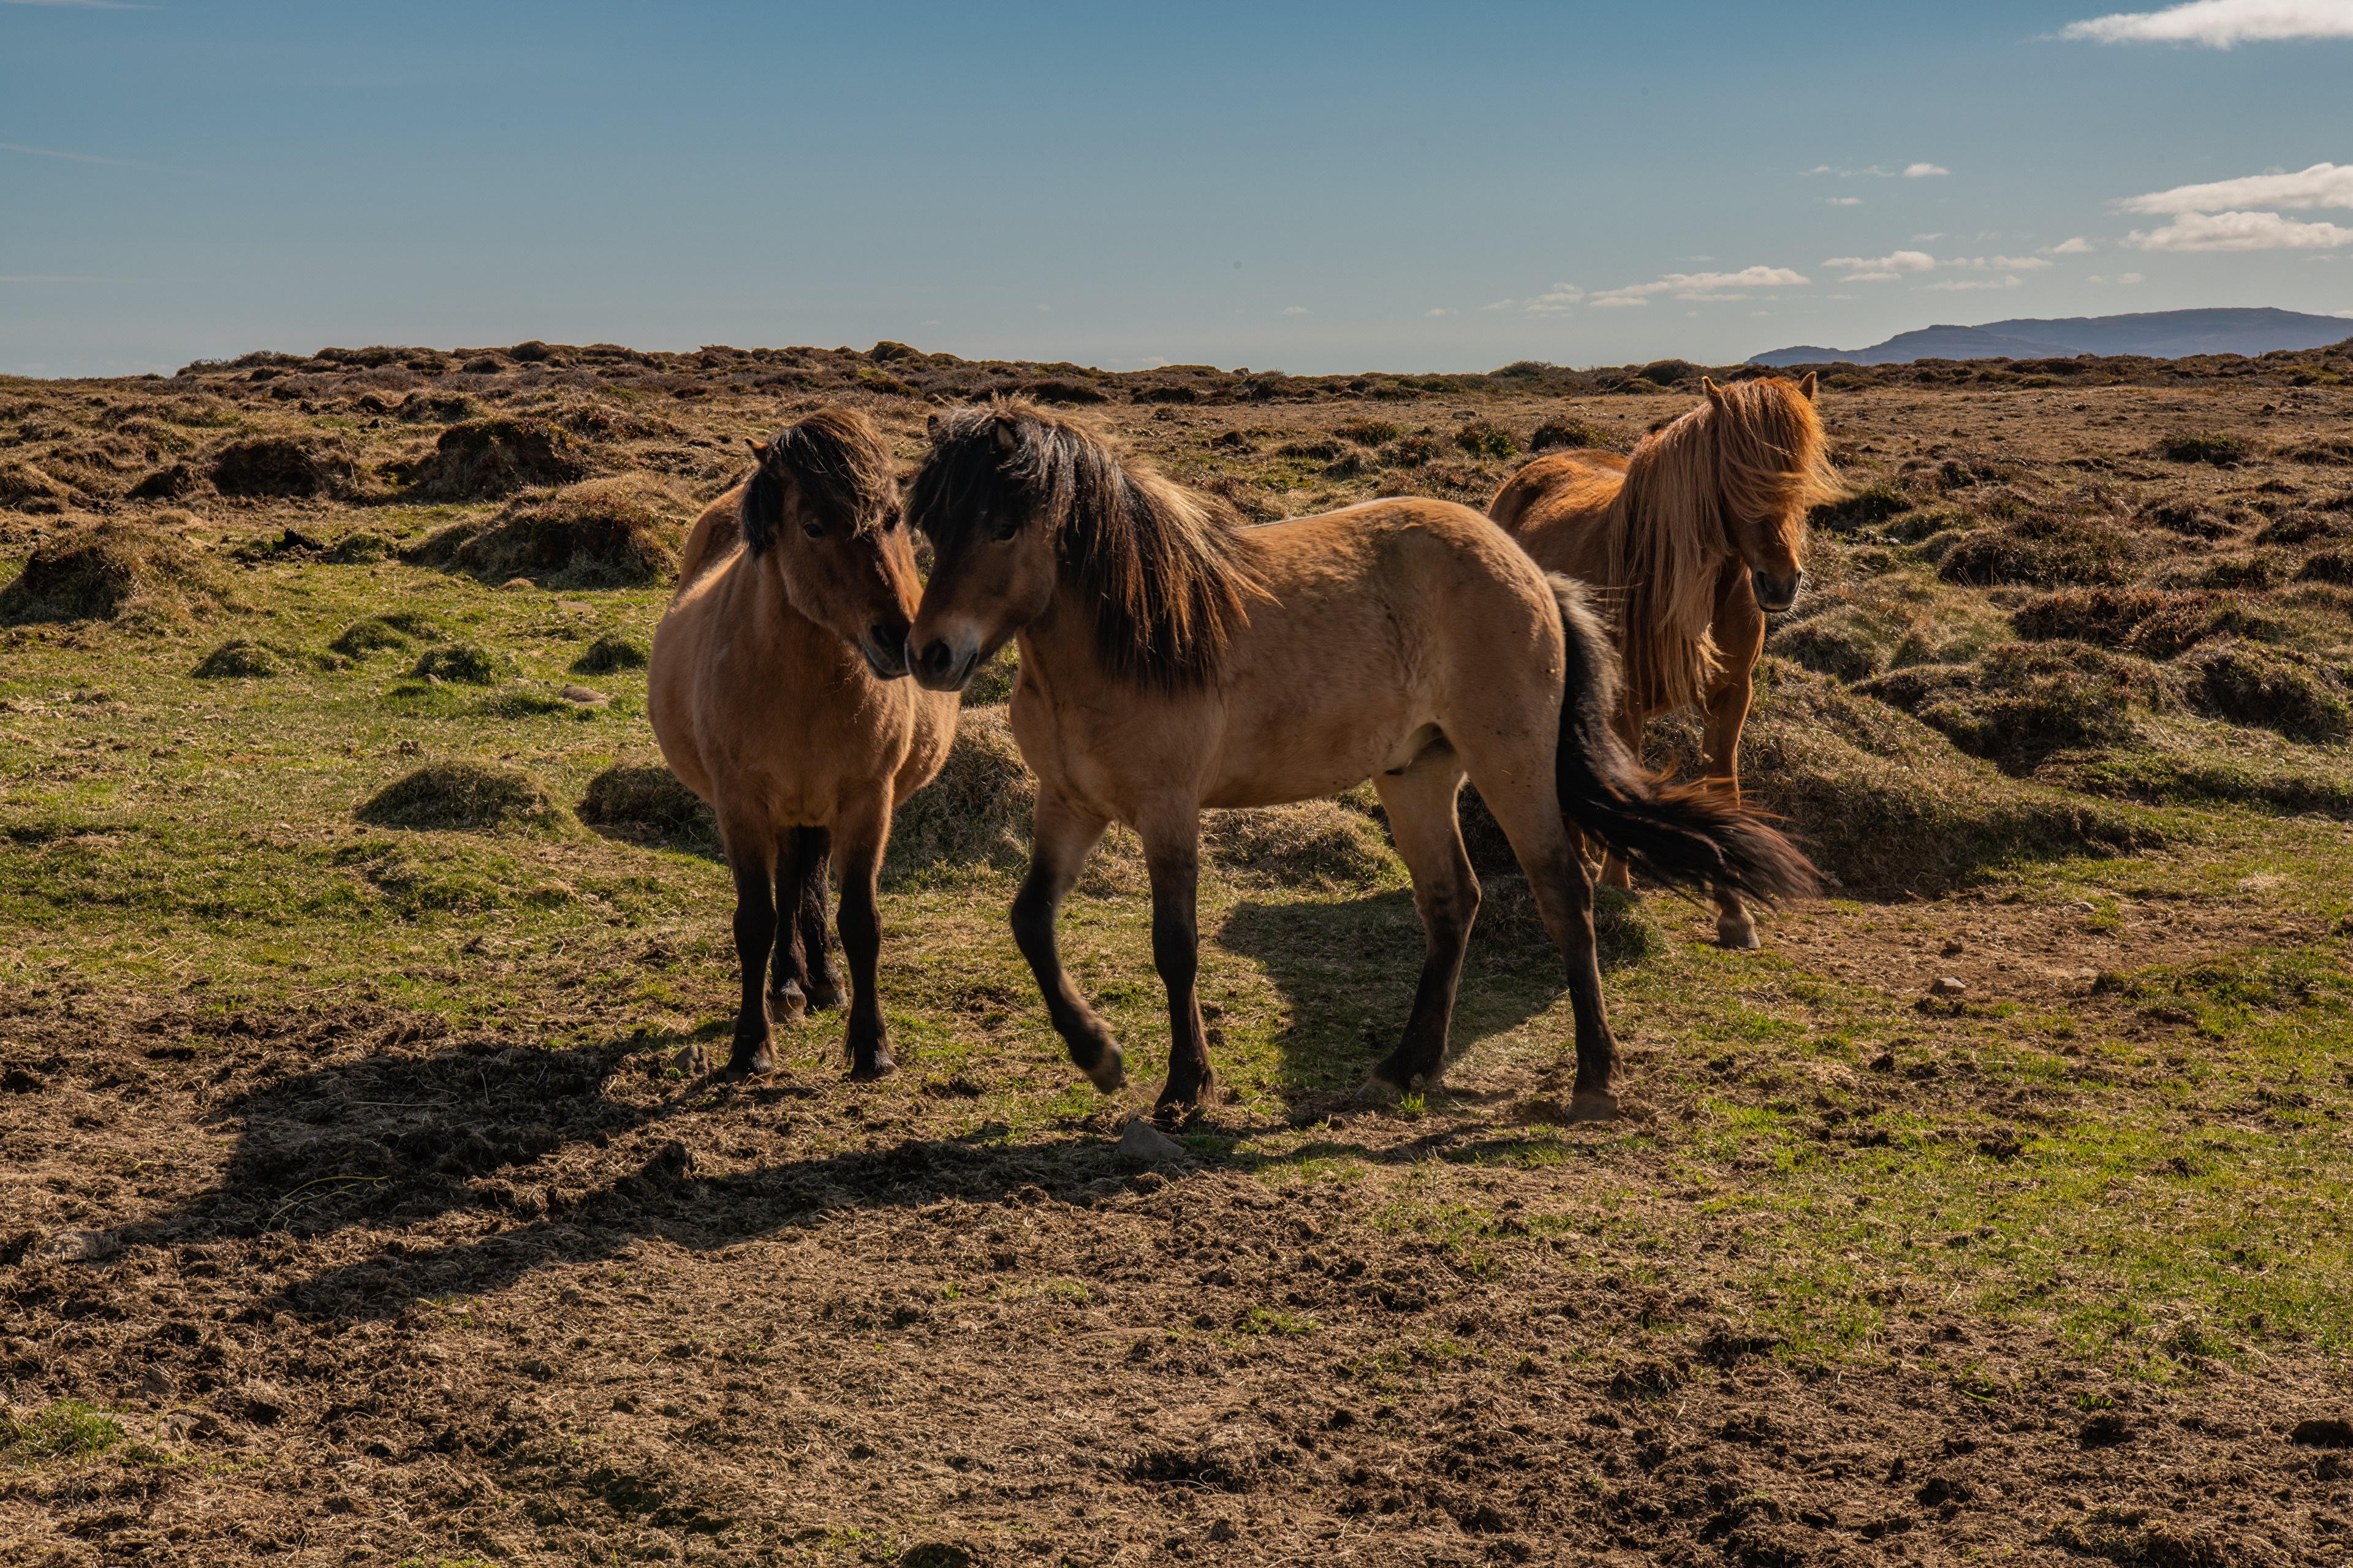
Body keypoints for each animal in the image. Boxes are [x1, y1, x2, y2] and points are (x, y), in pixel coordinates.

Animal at [649, 407, 956, 1080]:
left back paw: (820, 980)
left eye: (893, 518)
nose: (900, 640)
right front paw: (750, 1047)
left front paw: (871, 1046)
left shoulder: (868, 799)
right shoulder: (740, 802)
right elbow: (755, 921)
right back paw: (789, 984)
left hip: (813, 808)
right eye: (813, 526)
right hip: (785, 808)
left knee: (803, 878)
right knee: (788, 886)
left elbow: (861, 921)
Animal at [902, 399, 1816, 1117]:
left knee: (1564, 891)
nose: (931, 654)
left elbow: (1175, 944)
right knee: (1453, 901)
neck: (1135, 636)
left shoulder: (1168, 810)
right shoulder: (1068, 801)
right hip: (1416, 774)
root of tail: (1529, 569)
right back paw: (1407, 1066)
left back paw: (1593, 1078)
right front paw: (1098, 1054)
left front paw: (1186, 1086)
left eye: (1002, 524)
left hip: (1510, 763)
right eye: (931, 526)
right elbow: (1031, 920)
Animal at [1487, 373, 1844, 950]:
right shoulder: (1626, 695)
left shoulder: (1731, 694)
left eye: (1801, 475)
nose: (1780, 583)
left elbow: (1723, 786)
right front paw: (1615, 882)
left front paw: (1734, 913)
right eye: (1735, 474)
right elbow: (1624, 778)